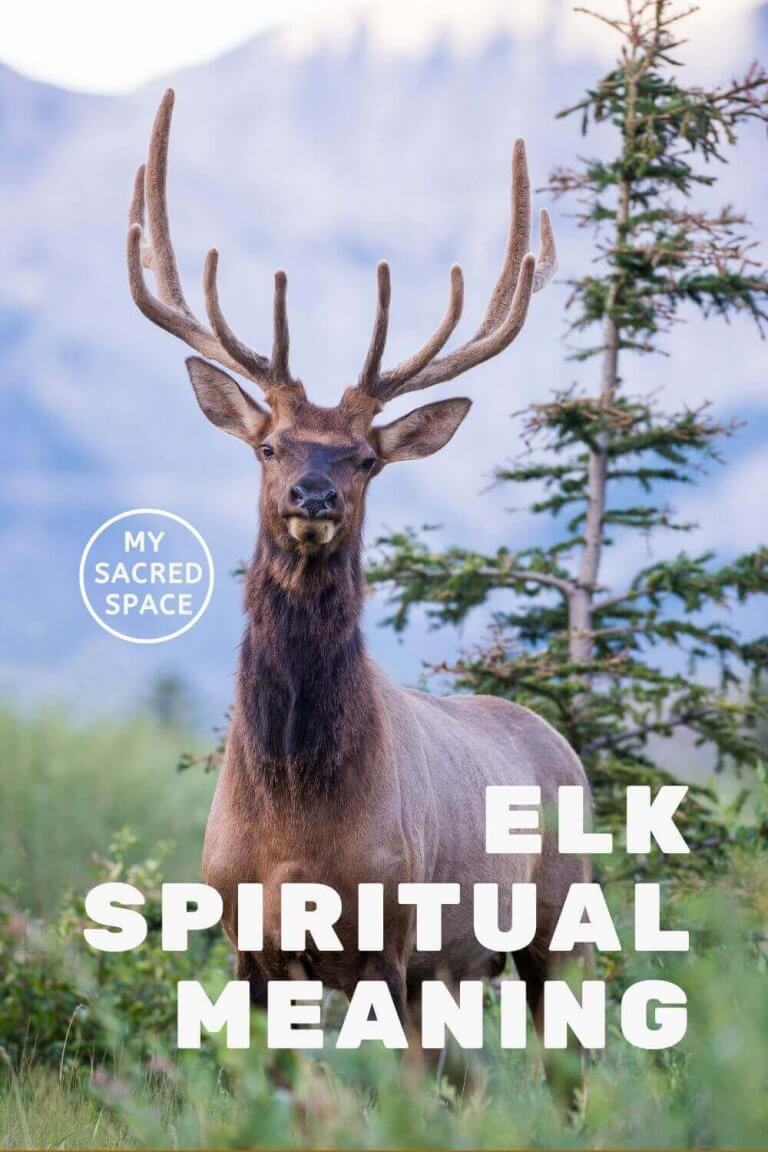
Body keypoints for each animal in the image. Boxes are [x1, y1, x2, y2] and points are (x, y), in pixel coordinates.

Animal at [127, 89, 592, 1107]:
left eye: (367, 458)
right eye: (269, 446)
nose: (314, 497)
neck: (296, 819)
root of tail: (557, 737)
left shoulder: (393, 936)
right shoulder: (247, 942)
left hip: (556, 923)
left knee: (567, 1069)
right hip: (464, 966)